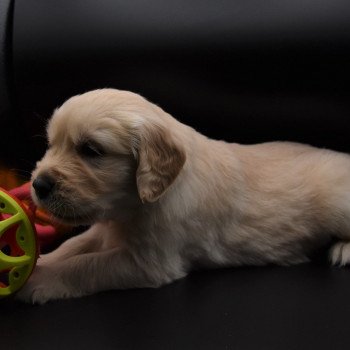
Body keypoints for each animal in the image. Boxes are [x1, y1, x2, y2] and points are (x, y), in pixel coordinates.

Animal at [17, 88, 350, 304]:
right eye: (51, 144)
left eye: (91, 150)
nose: (39, 185)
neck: (133, 207)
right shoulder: (107, 230)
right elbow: (74, 246)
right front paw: (41, 262)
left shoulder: (148, 262)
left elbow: (85, 266)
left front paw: (38, 279)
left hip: (337, 204)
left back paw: (343, 250)